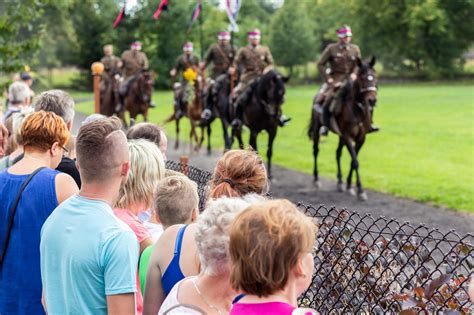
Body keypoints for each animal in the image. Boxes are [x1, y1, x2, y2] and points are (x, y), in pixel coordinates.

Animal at [308, 55, 378, 201]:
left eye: (375, 76)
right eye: (362, 78)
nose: (372, 101)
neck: (357, 109)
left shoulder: (361, 138)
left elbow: (352, 160)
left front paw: (349, 185)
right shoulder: (347, 136)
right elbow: (355, 161)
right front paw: (360, 190)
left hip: (341, 136)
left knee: (337, 153)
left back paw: (340, 182)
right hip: (318, 129)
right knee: (316, 151)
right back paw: (316, 179)